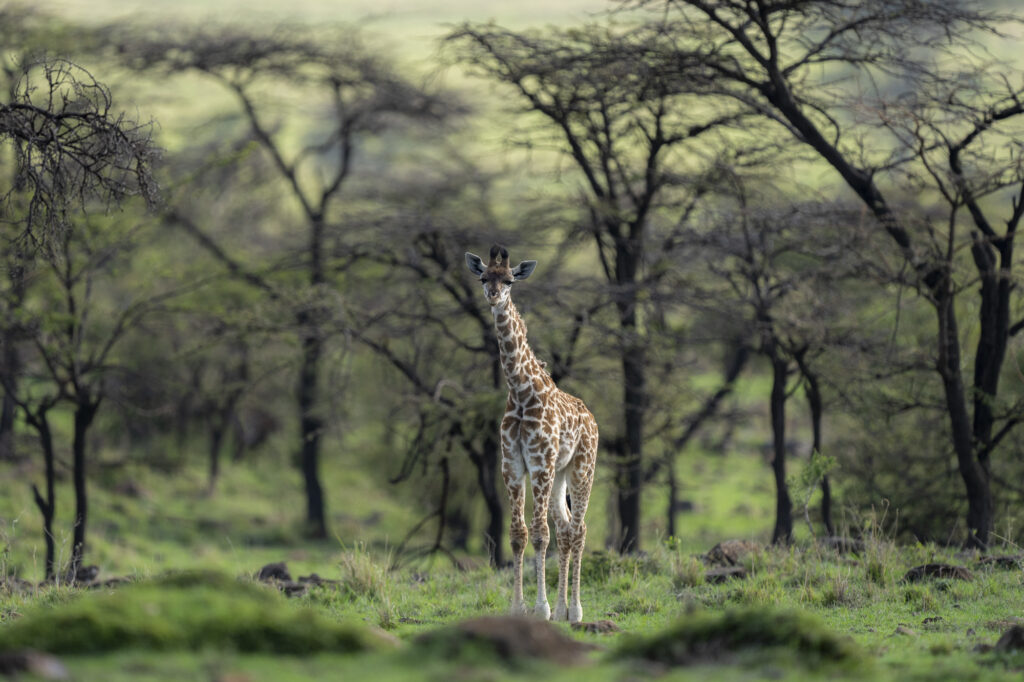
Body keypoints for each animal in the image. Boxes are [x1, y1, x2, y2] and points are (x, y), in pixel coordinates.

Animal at [465, 244, 599, 624]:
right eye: (483, 277)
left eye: (509, 280)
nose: (493, 296)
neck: (522, 391)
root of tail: (593, 419)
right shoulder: (512, 465)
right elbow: (518, 534)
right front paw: (519, 607)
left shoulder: (539, 465)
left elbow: (540, 534)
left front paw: (541, 609)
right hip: (559, 475)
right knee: (565, 528)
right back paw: (565, 609)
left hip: (582, 469)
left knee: (578, 529)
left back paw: (576, 610)